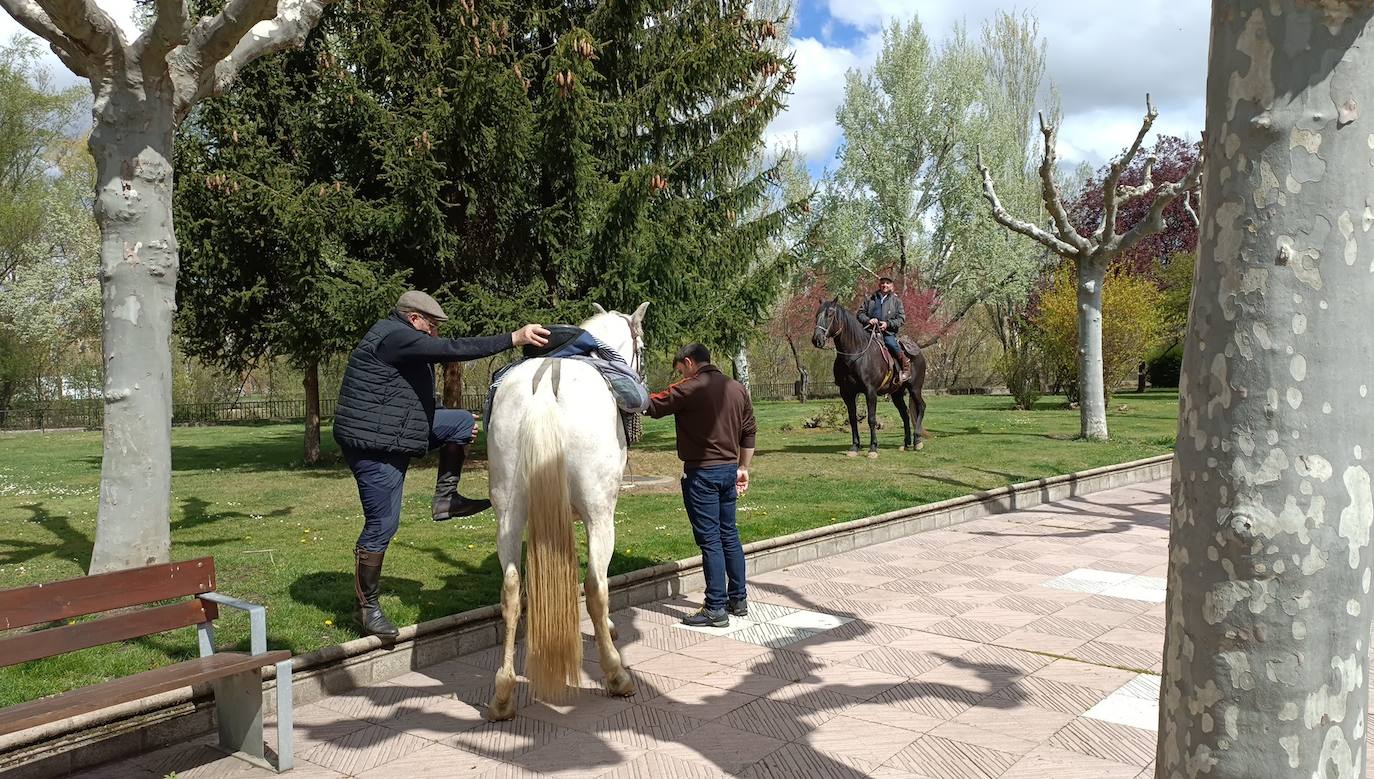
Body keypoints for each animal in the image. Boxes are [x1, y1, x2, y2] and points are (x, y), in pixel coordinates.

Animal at [483, 300, 648, 719]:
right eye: (642, 347)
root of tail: (544, 384)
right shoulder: (595, 514)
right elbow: (595, 583)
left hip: (508, 514)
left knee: (511, 588)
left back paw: (503, 692)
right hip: (600, 515)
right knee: (595, 586)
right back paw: (616, 675)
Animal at [807, 298, 928, 456]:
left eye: (830, 314)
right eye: (816, 315)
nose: (817, 339)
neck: (855, 354)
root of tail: (918, 352)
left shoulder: (870, 392)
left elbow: (871, 419)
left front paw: (873, 448)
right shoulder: (847, 393)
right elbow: (852, 419)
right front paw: (854, 447)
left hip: (914, 388)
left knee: (921, 407)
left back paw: (917, 441)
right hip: (897, 393)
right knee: (905, 414)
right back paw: (906, 443)